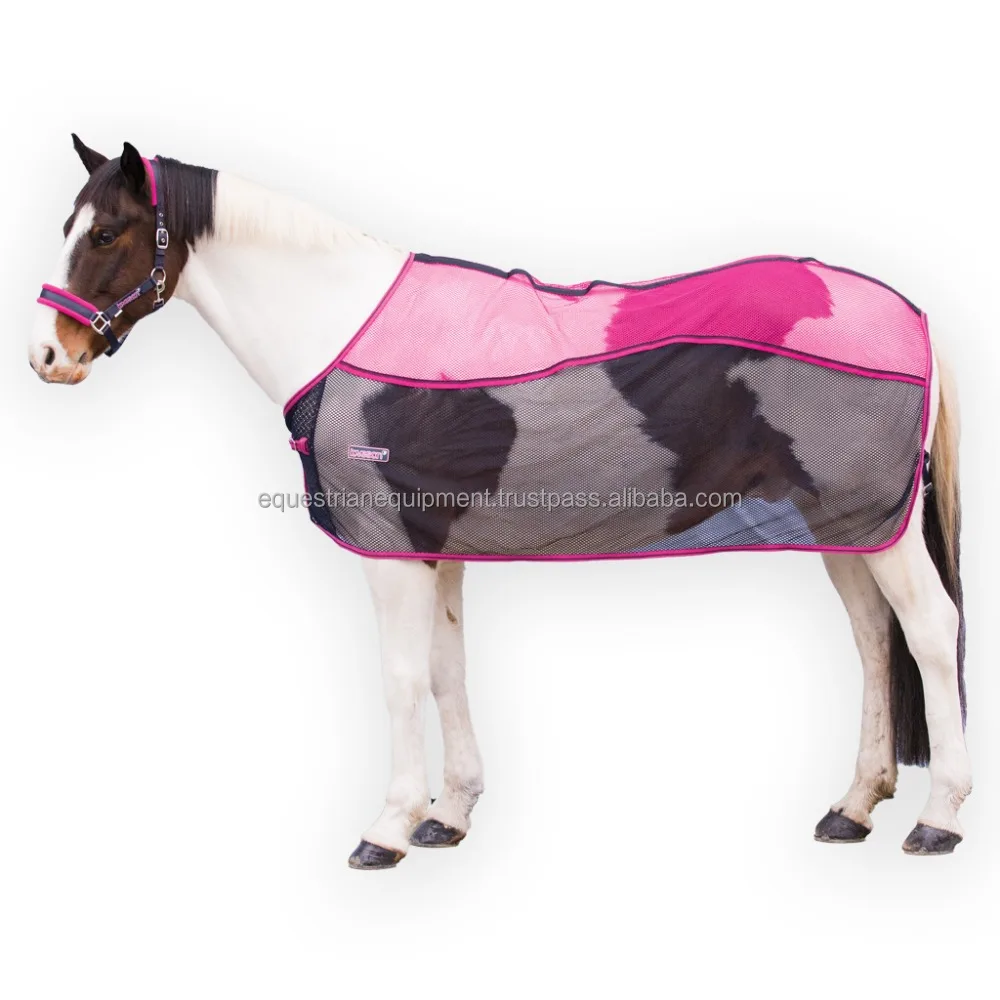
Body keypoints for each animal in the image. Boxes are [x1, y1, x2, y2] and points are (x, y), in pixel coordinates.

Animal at [29, 137, 971, 869]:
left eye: (106, 232)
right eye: (68, 227)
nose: (48, 355)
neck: (343, 326)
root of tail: (910, 315)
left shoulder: (391, 554)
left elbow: (401, 679)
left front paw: (388, 827)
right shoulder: (434, 548)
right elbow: (447, 671)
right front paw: (448, 815)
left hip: (879, 529)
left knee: (928, 632)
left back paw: (938, 818)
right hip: (844, 525)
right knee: (873, 639)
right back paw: (853, 805)